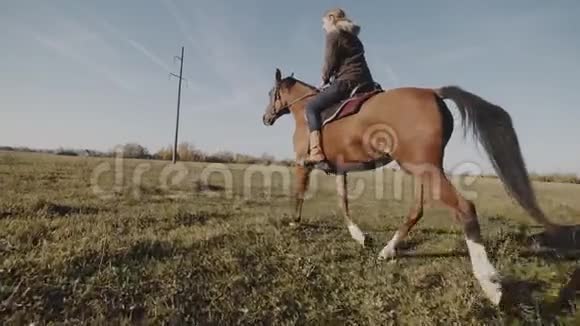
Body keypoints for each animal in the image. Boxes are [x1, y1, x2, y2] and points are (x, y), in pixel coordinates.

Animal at [262, 67, 560, 304]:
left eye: (270, 93)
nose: (266, 118)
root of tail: (433, 92)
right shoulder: (340, 169)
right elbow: (343, 202)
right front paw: (360, 236)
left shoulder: (303, 164)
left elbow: (300, 194)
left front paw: (294, 223)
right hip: (419, 168)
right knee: (417, 210)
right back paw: (387, 251)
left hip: (423, 168)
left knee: (464, 207)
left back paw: (490, 285)